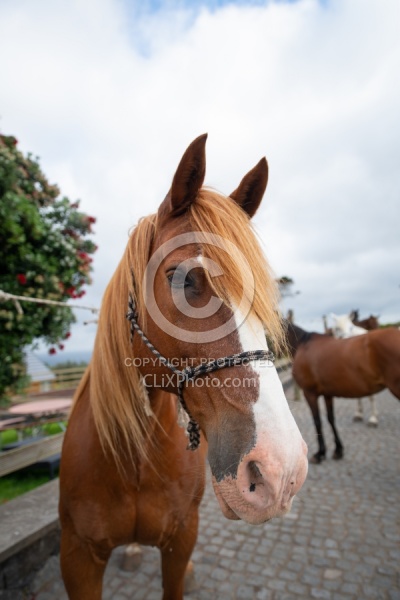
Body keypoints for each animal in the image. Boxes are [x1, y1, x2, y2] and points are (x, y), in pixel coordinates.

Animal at [286, 324, 398, 464]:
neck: (303, 344)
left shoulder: (310, 393)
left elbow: (317, 421)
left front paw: (320, 453)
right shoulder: (327, 394)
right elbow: (330, 418)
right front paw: (338, 450)